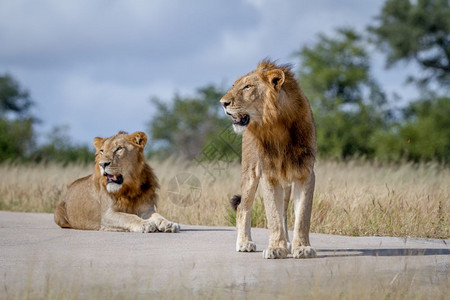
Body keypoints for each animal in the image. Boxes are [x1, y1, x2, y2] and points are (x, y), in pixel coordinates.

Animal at [221, 58, 316, 258]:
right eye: (234, 85)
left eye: (247, 86)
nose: (223, 102)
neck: (277, 125)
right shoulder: (269, 174)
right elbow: (273, 214)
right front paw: (276, 248)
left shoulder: (305, 173)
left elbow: (302, 215)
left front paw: (302, 248)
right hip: (250, 172)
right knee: (243, 207)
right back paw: (244, 243)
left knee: (285, 211)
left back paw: (287, 243)